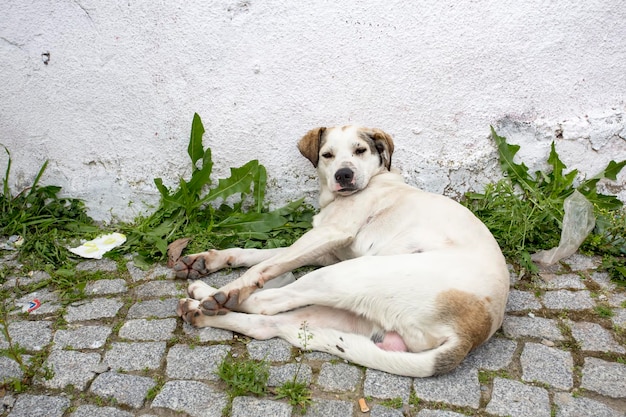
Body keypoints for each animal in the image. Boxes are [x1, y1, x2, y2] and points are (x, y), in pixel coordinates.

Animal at [174, 125, 508, 376]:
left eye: (360, 150)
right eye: (327, 155)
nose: (344, 175)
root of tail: (470, 334)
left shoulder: (331, 236)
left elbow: (264, 266)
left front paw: (230, 288)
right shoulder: (327, 250)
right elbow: (257, 254)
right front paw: (205, 260)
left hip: (345, 275)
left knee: (266, 303)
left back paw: (213, 296)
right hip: (349, 310)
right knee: (267, 324)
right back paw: (198, 308)